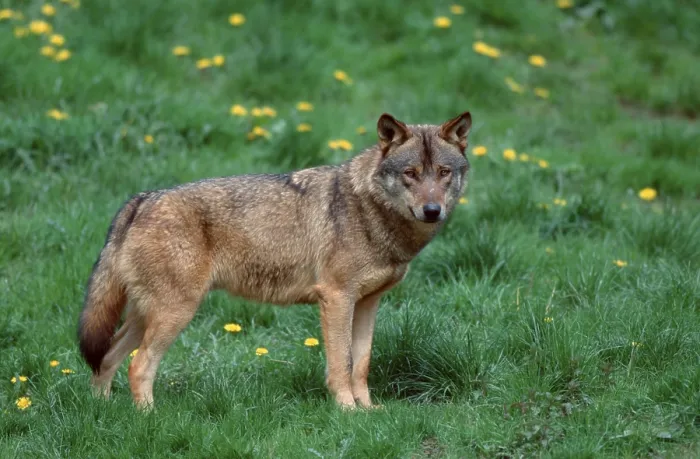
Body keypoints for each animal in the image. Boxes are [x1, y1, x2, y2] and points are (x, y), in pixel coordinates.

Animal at [78, 111, 472, 409]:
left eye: (443, 172)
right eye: (410, 174)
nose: (432, 210)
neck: (371, 211)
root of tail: (142, 199)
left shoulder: (367, 303)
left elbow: (361, 364)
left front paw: (369, 411)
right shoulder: (336, 298)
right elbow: (340, 365)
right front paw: (347, 412)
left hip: (145, 317)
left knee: (106, 360)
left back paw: (104, 414)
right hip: (175, 313)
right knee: (138, 366)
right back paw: (149, 418)